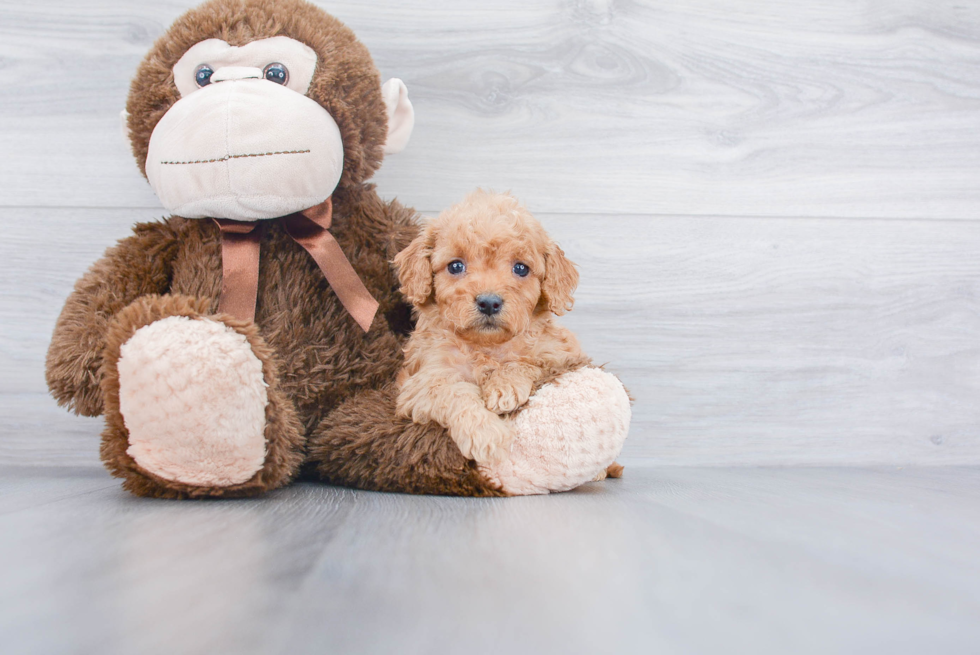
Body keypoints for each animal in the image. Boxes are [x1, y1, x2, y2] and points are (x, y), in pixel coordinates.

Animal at [394, 190, 616, 466]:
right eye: (456, 266)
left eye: (520, 268)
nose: (489, 302)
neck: (487, 346)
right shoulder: (420, 382)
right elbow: (453, 391)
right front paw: (485, 433)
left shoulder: (562, 356)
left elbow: (528, 362)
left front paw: (504, 386)